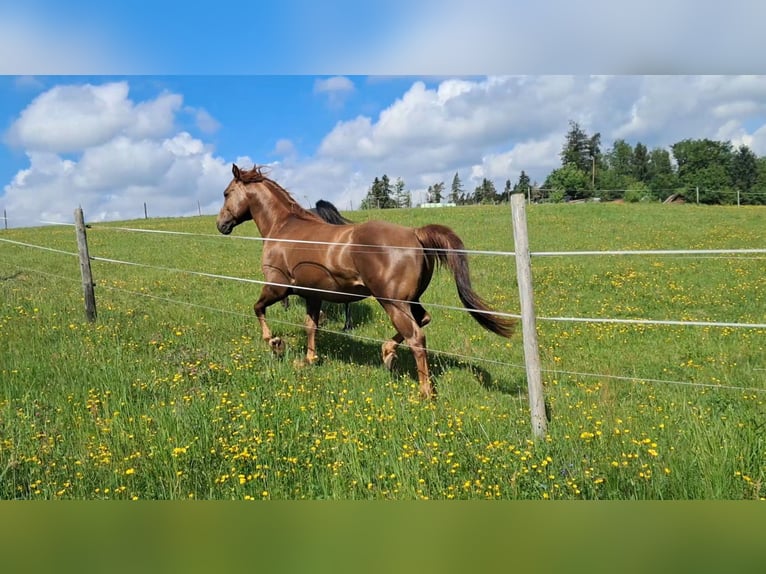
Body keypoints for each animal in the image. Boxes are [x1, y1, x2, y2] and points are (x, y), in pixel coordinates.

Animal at [216, 164, 515, 399]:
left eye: (226, 193)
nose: (221, 225)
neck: (284, 228)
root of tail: (415, 233)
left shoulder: (279, 287)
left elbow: (258, 308)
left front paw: (275, 343)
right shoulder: (312, 294)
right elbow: (311, 326)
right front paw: (308, 360)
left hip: (392, 302)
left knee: (417, 337)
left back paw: (424, 392)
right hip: (410, 300)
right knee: (424, 320)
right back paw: (388, 352)